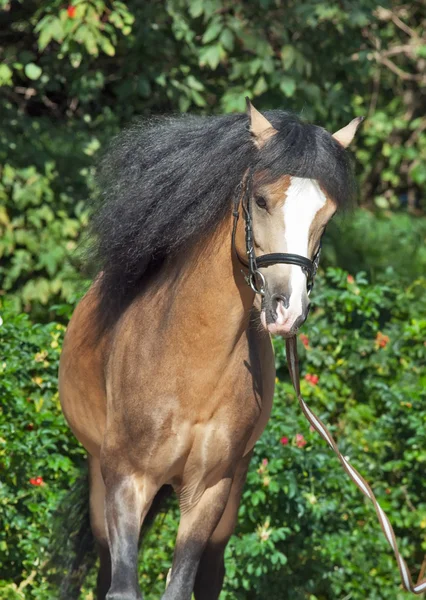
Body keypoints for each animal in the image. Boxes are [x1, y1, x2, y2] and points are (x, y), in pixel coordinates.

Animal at [58, 99, 362, 600]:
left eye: (328, 214)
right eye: (260, 199)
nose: (287, 309)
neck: (189, 364)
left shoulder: (209, 490)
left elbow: (182, 585)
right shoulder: (126, 481)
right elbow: (122, 587)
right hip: (101, 482)